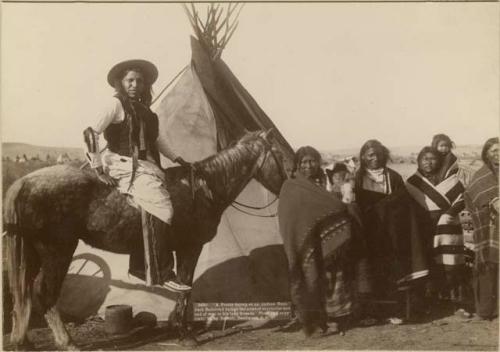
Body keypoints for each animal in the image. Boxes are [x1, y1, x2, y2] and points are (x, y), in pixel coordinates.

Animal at [3, 129, 288, 350]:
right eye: (281, 155)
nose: (288, 185)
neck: (203, 188)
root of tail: (24, 182)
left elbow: (184, 286)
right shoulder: (190, 247)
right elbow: (186, 285)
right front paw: (185, 333)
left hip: (32, 253)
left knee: (23, 292)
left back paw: (22, 341)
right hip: (57, 251)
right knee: (44, 293)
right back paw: (67, 342)